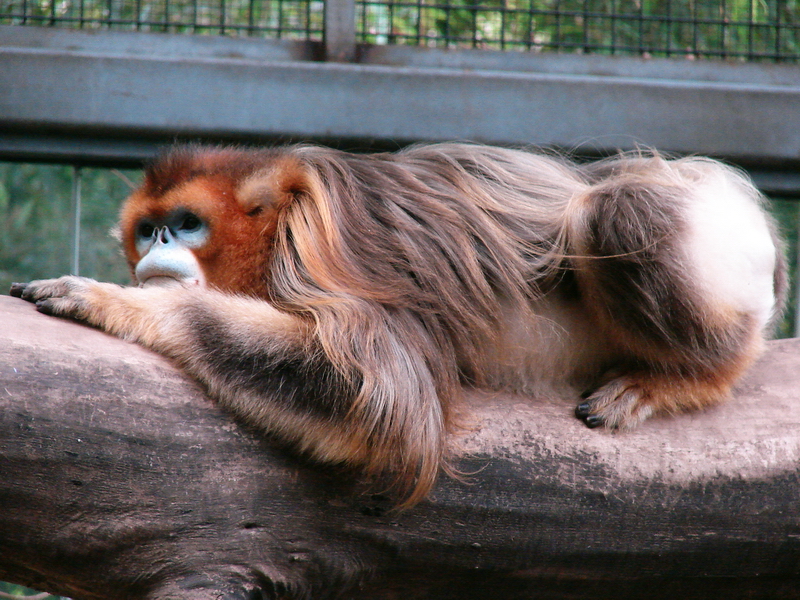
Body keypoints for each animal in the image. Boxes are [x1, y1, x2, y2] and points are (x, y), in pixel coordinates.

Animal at [11, 143, 786, 506]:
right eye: (149, 229)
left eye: (187, 223)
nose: (160, 246)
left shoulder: (319, 242)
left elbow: (383, 395)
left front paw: (107, 299)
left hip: (713, 241)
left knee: (617, 210)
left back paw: (690, 377)